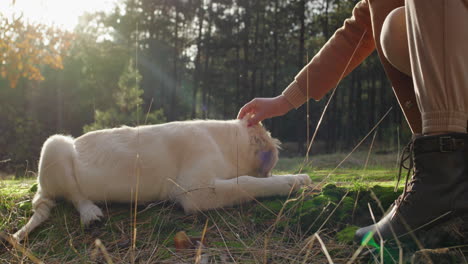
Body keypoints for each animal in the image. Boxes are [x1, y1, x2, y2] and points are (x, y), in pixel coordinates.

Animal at [13, 119, 310, 241]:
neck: (226, 143)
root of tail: (41, 189)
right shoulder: (194, 190)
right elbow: (247, 182)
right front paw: (294, 180)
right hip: (54, 145)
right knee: (74, 196)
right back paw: (90, 213)